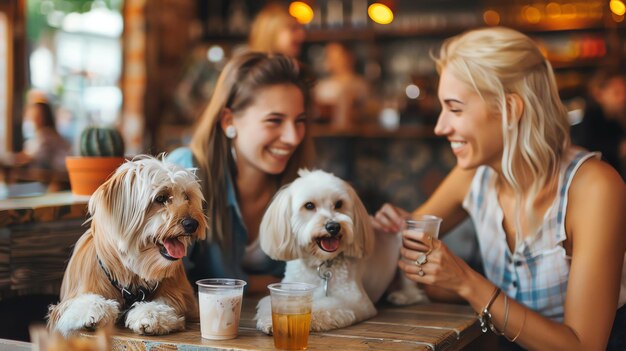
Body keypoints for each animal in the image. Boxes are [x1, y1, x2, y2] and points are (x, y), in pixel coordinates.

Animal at [47, 157, 207, 336]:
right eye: (160, 198)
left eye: (186, 196)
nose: (192, 224)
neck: (133, 275)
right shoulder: (66, 303)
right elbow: (82, 301)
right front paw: (93, 310)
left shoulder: (180, 296)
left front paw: (150, 314)